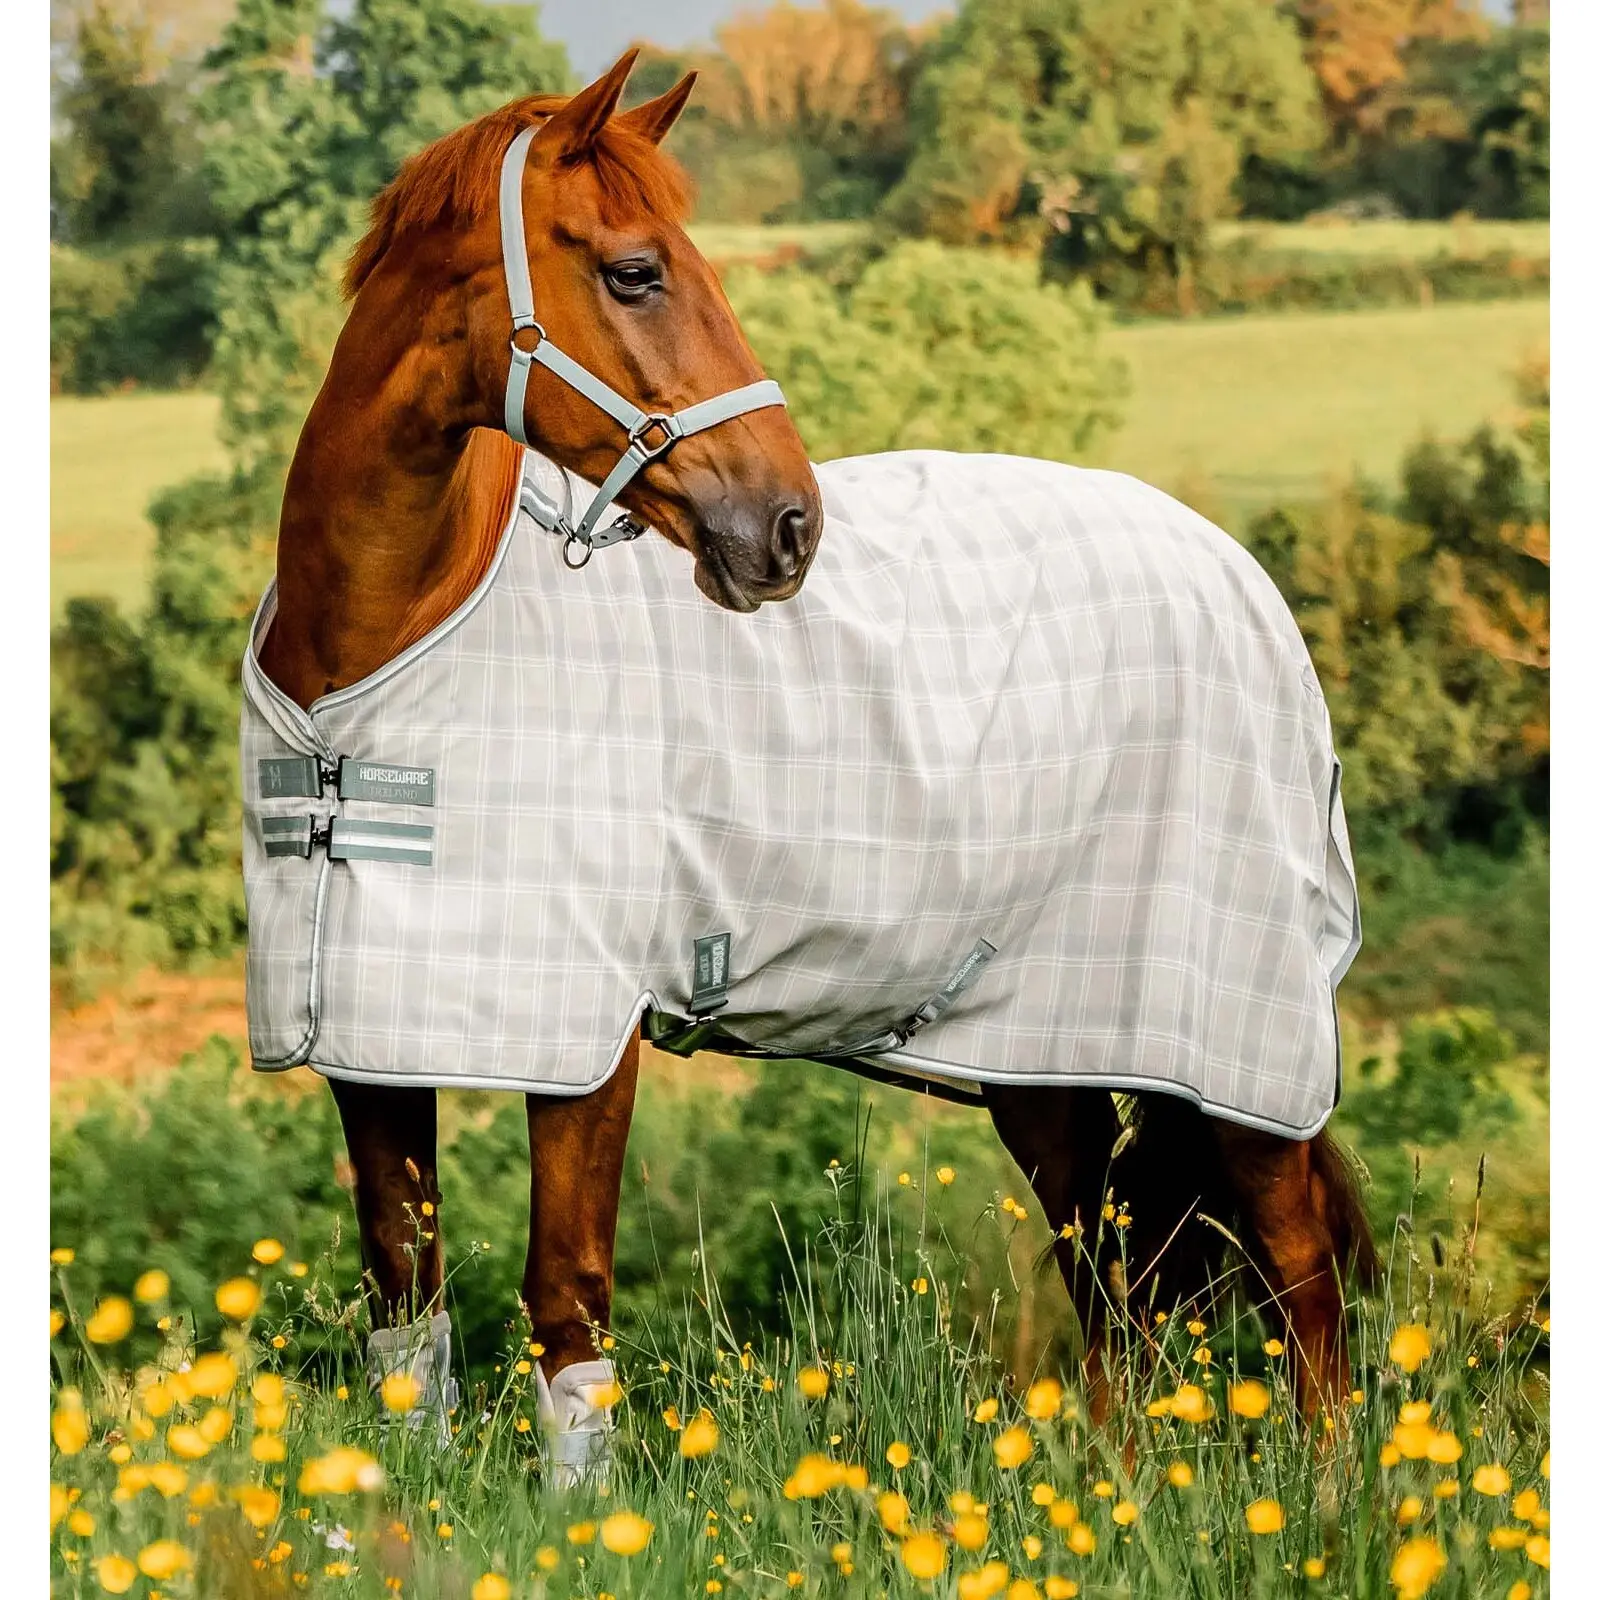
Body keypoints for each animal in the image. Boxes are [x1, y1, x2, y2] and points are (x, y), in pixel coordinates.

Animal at [249, 51, 1374, 1482]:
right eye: (635, 271)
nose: (786, 527)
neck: (380, 660)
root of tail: (1239, 572)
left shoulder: (585, 1042)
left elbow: (567, 1299)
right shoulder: (371, 1041)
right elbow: (406, 1303)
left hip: (1236, 1041)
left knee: (1296, 1268)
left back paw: (1328, 1496)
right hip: (1047, 1054)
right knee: (1104, 1275)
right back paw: (1121, 1490)